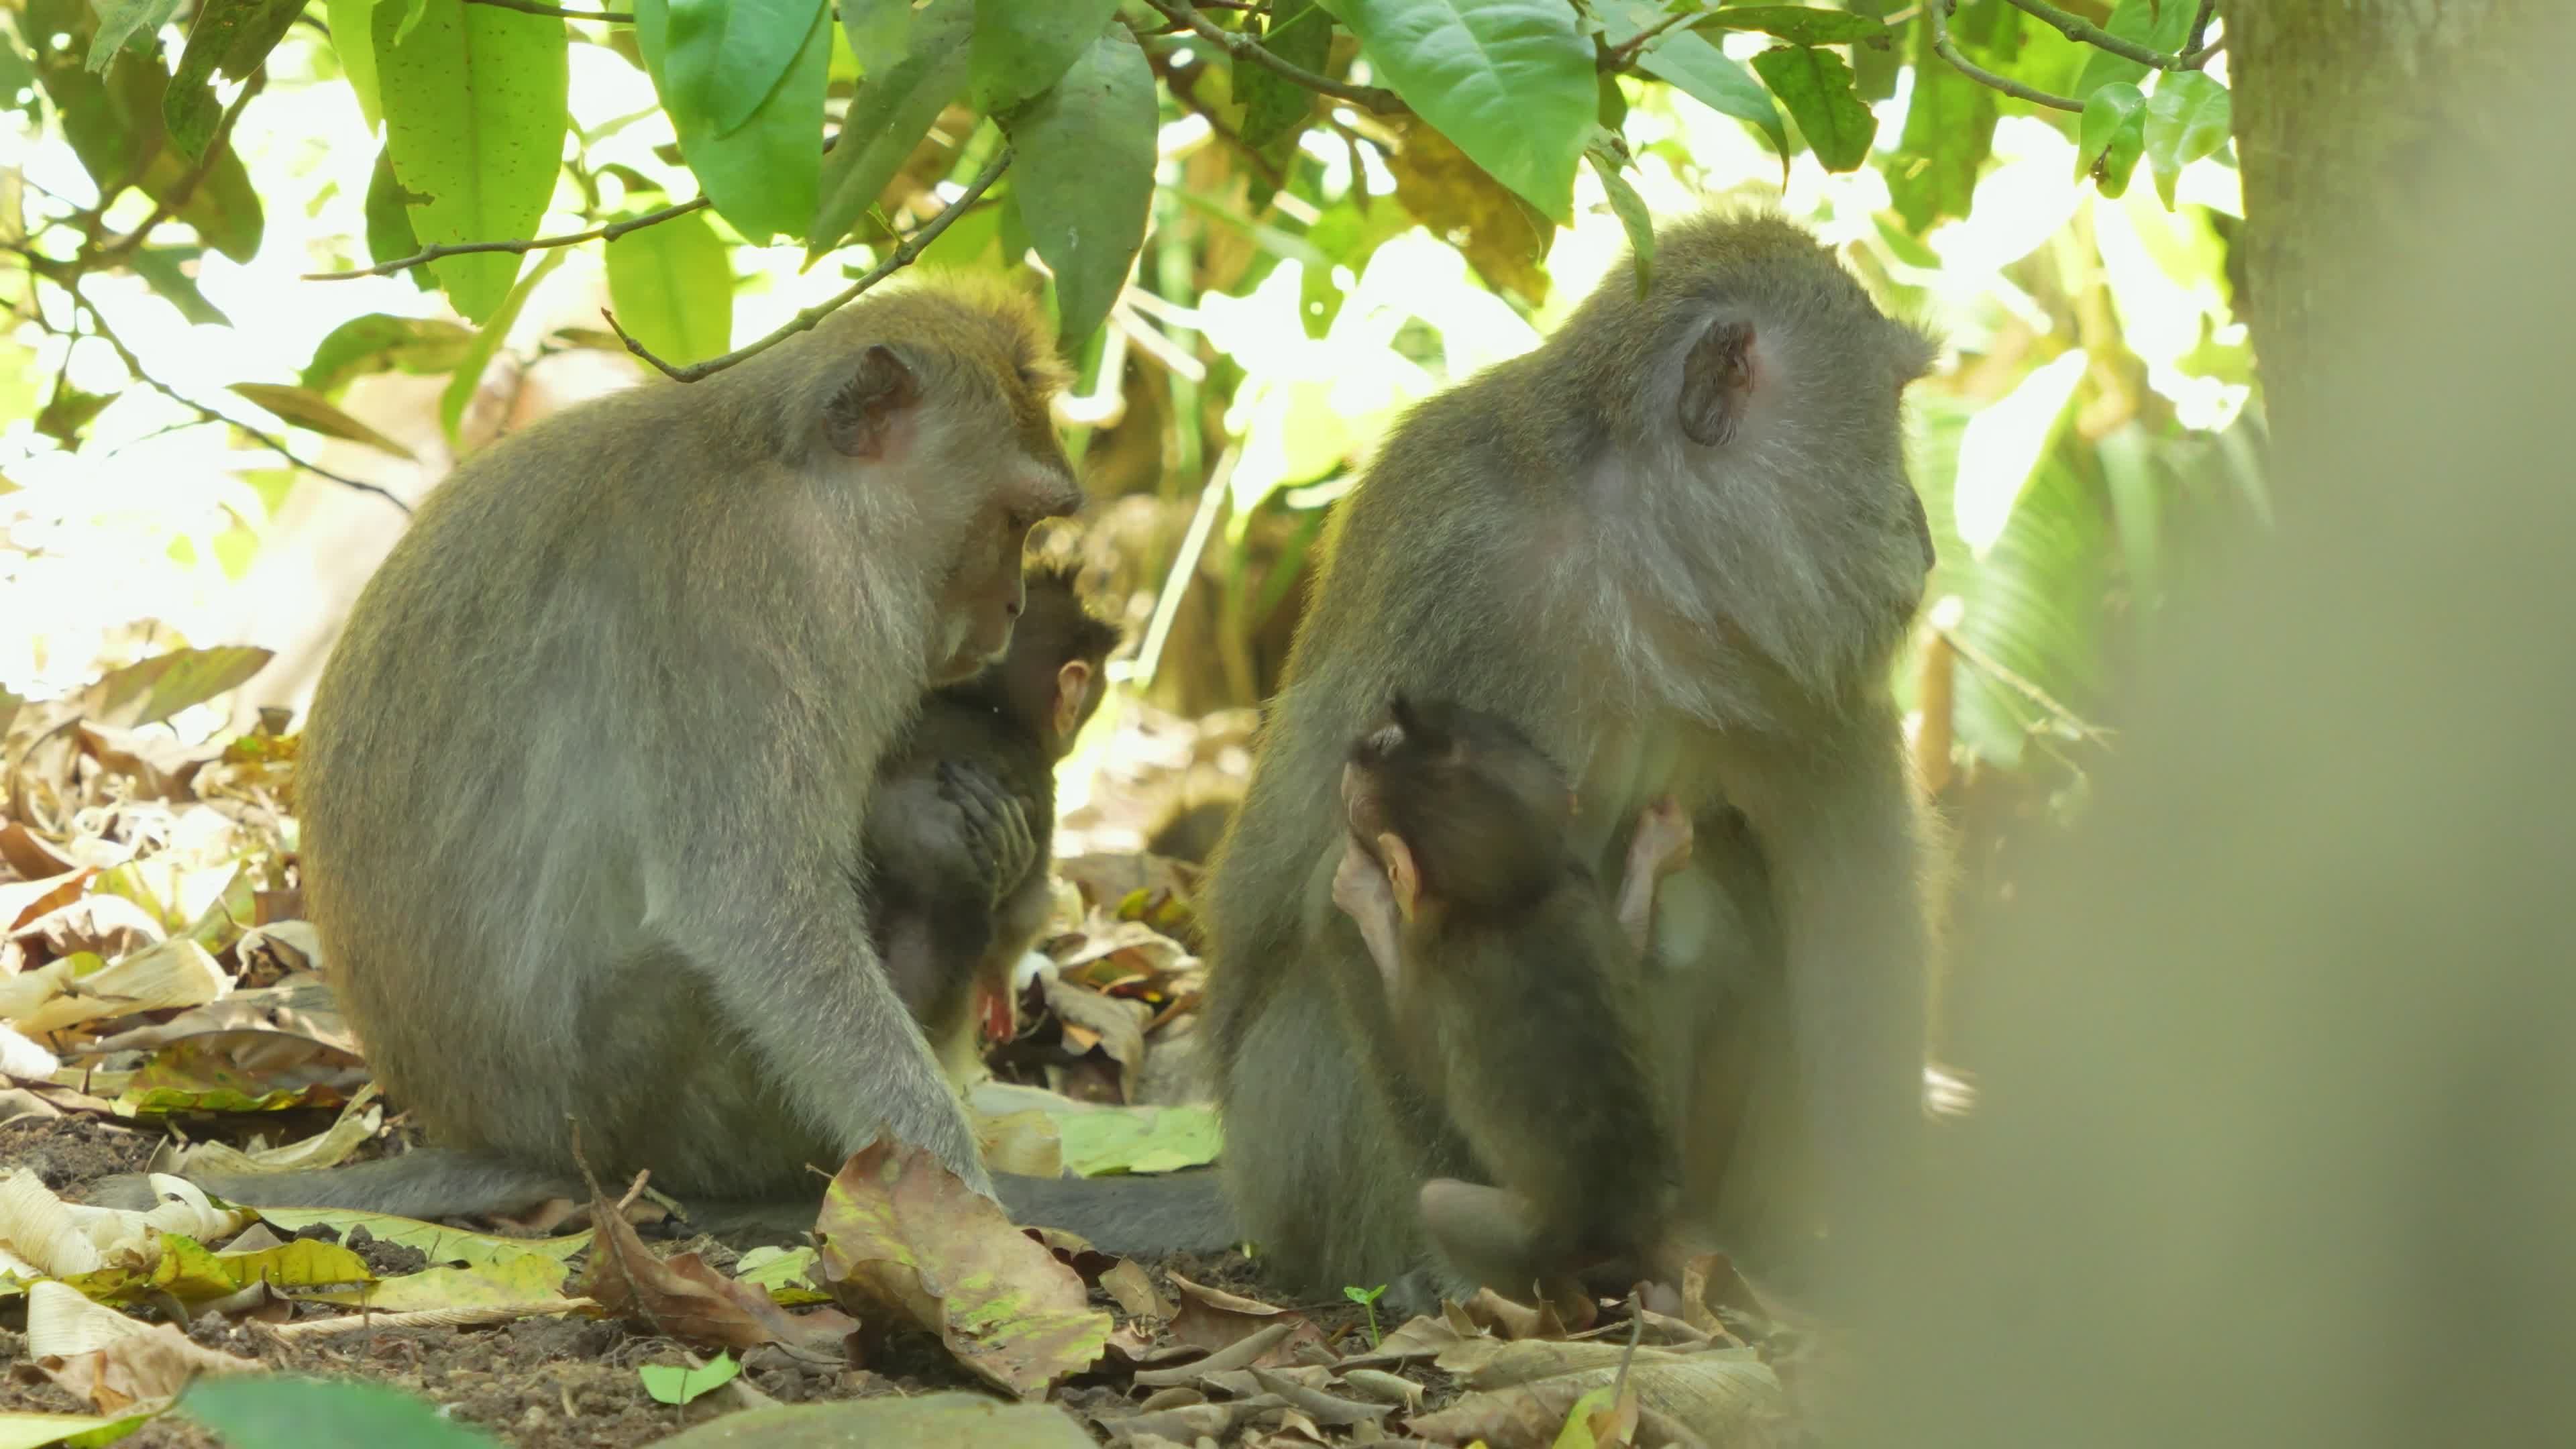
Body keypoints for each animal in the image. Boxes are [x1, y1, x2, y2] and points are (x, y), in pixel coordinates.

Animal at [87, 277, 1087, 1226]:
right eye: (1013, 520)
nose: (1011, 607)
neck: (783, 469)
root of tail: (505, 1139)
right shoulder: (762, 601)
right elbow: (751, 903)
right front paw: (957, 1200)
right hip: (662, 1095)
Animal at [1328, 694, 1695, 1304]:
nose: (1356, 747)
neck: (1511, 899)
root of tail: (1628, 1223)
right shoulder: (1578, 889)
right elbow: (1628, 942)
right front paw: (1659, 846)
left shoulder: (1434, 957)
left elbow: (1418, 1056)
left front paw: (1364, 892)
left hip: (1519, 1231)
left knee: (1439, 1203)